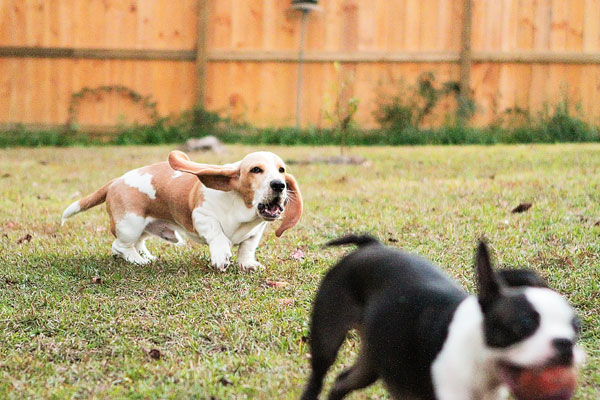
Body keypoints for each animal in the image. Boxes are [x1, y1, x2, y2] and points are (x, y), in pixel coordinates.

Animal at [63, 151, 302, 272]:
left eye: (282, 170)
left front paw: (248, 264)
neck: (241, 207)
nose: (279, 185)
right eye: (256, 170)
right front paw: (221, 256)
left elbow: (247, 248)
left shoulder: (255, 232)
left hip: (141, 228)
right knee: (120, 246)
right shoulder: (202, 217)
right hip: (130, 224)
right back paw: (138, 261)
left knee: (135, 244)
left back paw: (147, 256)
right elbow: (218, 235)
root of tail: (115, 181)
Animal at [302, 236, 584, 400]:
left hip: (373, 360)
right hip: (327, 340)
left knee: (342, 381)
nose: (564, 344)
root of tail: (371, 246)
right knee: (318, 375)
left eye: (576, 328)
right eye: (523, 326)